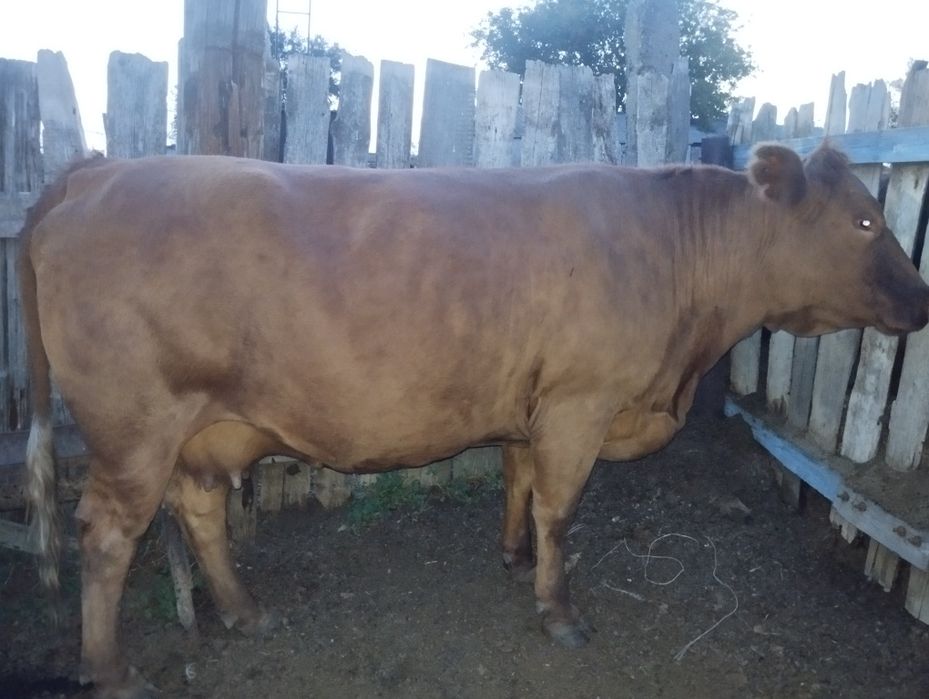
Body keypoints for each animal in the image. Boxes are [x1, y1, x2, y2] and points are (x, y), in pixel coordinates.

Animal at [21, 142, 929, 698]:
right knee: (107, 533)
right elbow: (560, 507)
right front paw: (558, 608)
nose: (921, 299)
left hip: (200, 428)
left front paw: (511, 555)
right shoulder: (578, 402)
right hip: (134, 425)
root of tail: (99, 169)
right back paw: (112, 668)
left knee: (200, 509)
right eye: (864, 220)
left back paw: (246, 611)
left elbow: (520, 482)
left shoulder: (531, 408)